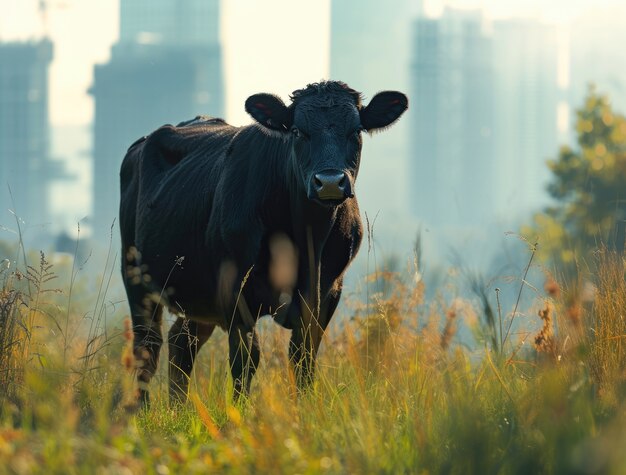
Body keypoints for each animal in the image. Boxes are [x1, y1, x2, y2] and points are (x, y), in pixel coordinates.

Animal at [119, 81, 408, 402]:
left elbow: (303, 358)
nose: (330, 181)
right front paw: (239, 411)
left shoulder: (327, 292)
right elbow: (245, 360)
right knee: (147, 346)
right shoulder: (235, 289)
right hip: (135, 275)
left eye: (356, 131)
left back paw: (177, 407)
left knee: (182, 341)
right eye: (297, 131)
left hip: (198, 293)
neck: (307, 239)